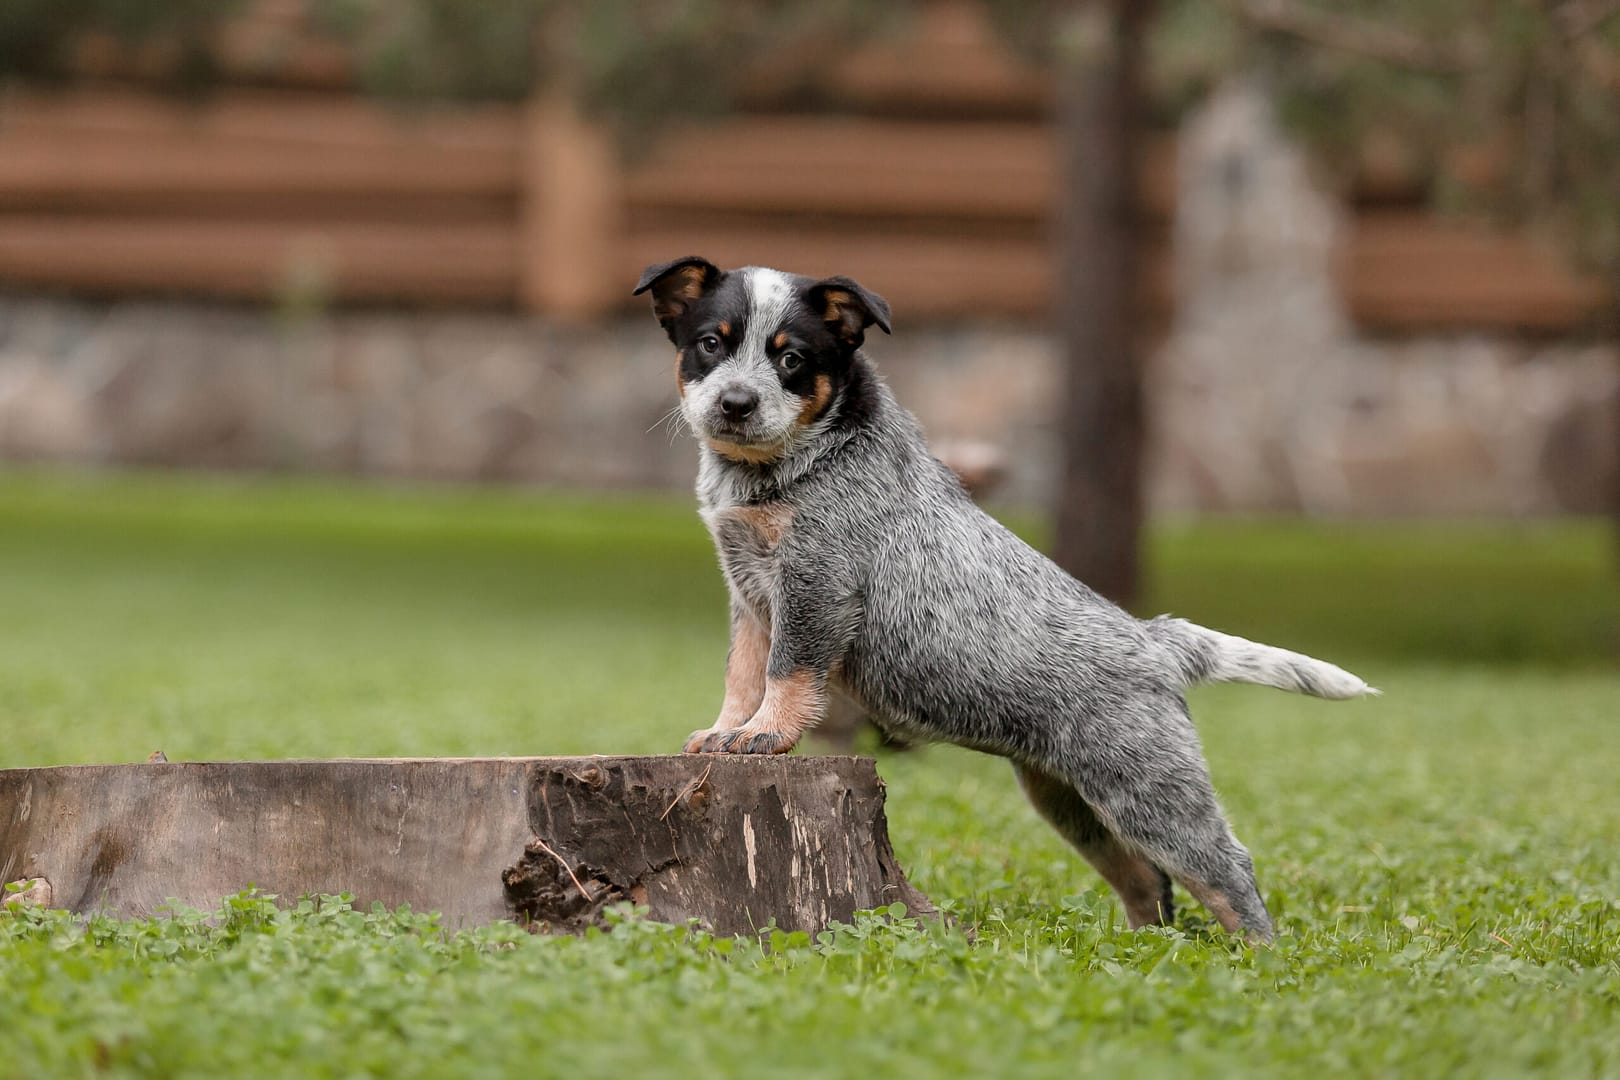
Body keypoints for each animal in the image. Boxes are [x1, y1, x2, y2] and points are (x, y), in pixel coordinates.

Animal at [631, 255, 1380, 939]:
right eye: (711, 344)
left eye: (790, 358)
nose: (736, 403)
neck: (790, 466)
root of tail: (1156, 637)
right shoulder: (749, 592)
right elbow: (743, 670)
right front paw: (727, 730)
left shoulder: (816, 581)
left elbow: (786, 672)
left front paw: (766, 734)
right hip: (1071, 800)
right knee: (1148, 879)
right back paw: (1146, 950)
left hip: (1149, 788)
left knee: (1227, 867)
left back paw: (1259, 954)